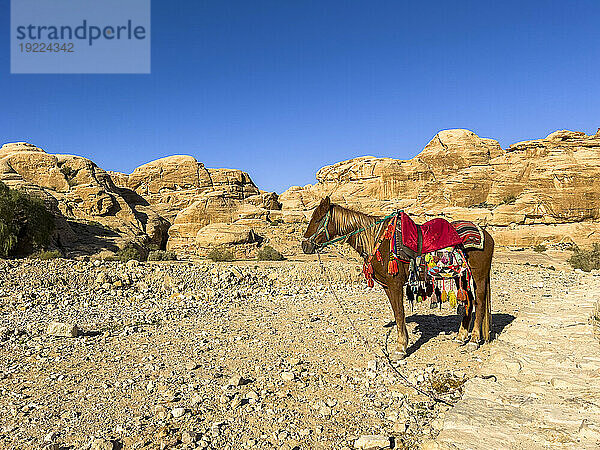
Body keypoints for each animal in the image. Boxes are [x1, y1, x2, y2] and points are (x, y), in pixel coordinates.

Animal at [302, 197, 494, 358]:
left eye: (318, 219)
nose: (305, 246)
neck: (377, 240)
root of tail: (487, 235)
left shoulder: (394, 284)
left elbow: (400, 313)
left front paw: (401, 348)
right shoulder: (387, 286)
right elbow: (396, 312)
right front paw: (402, 343)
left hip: (479, 275)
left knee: (479, 302)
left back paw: (474, 340)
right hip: (461, 276)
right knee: (468, 301)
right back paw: (461, 337)